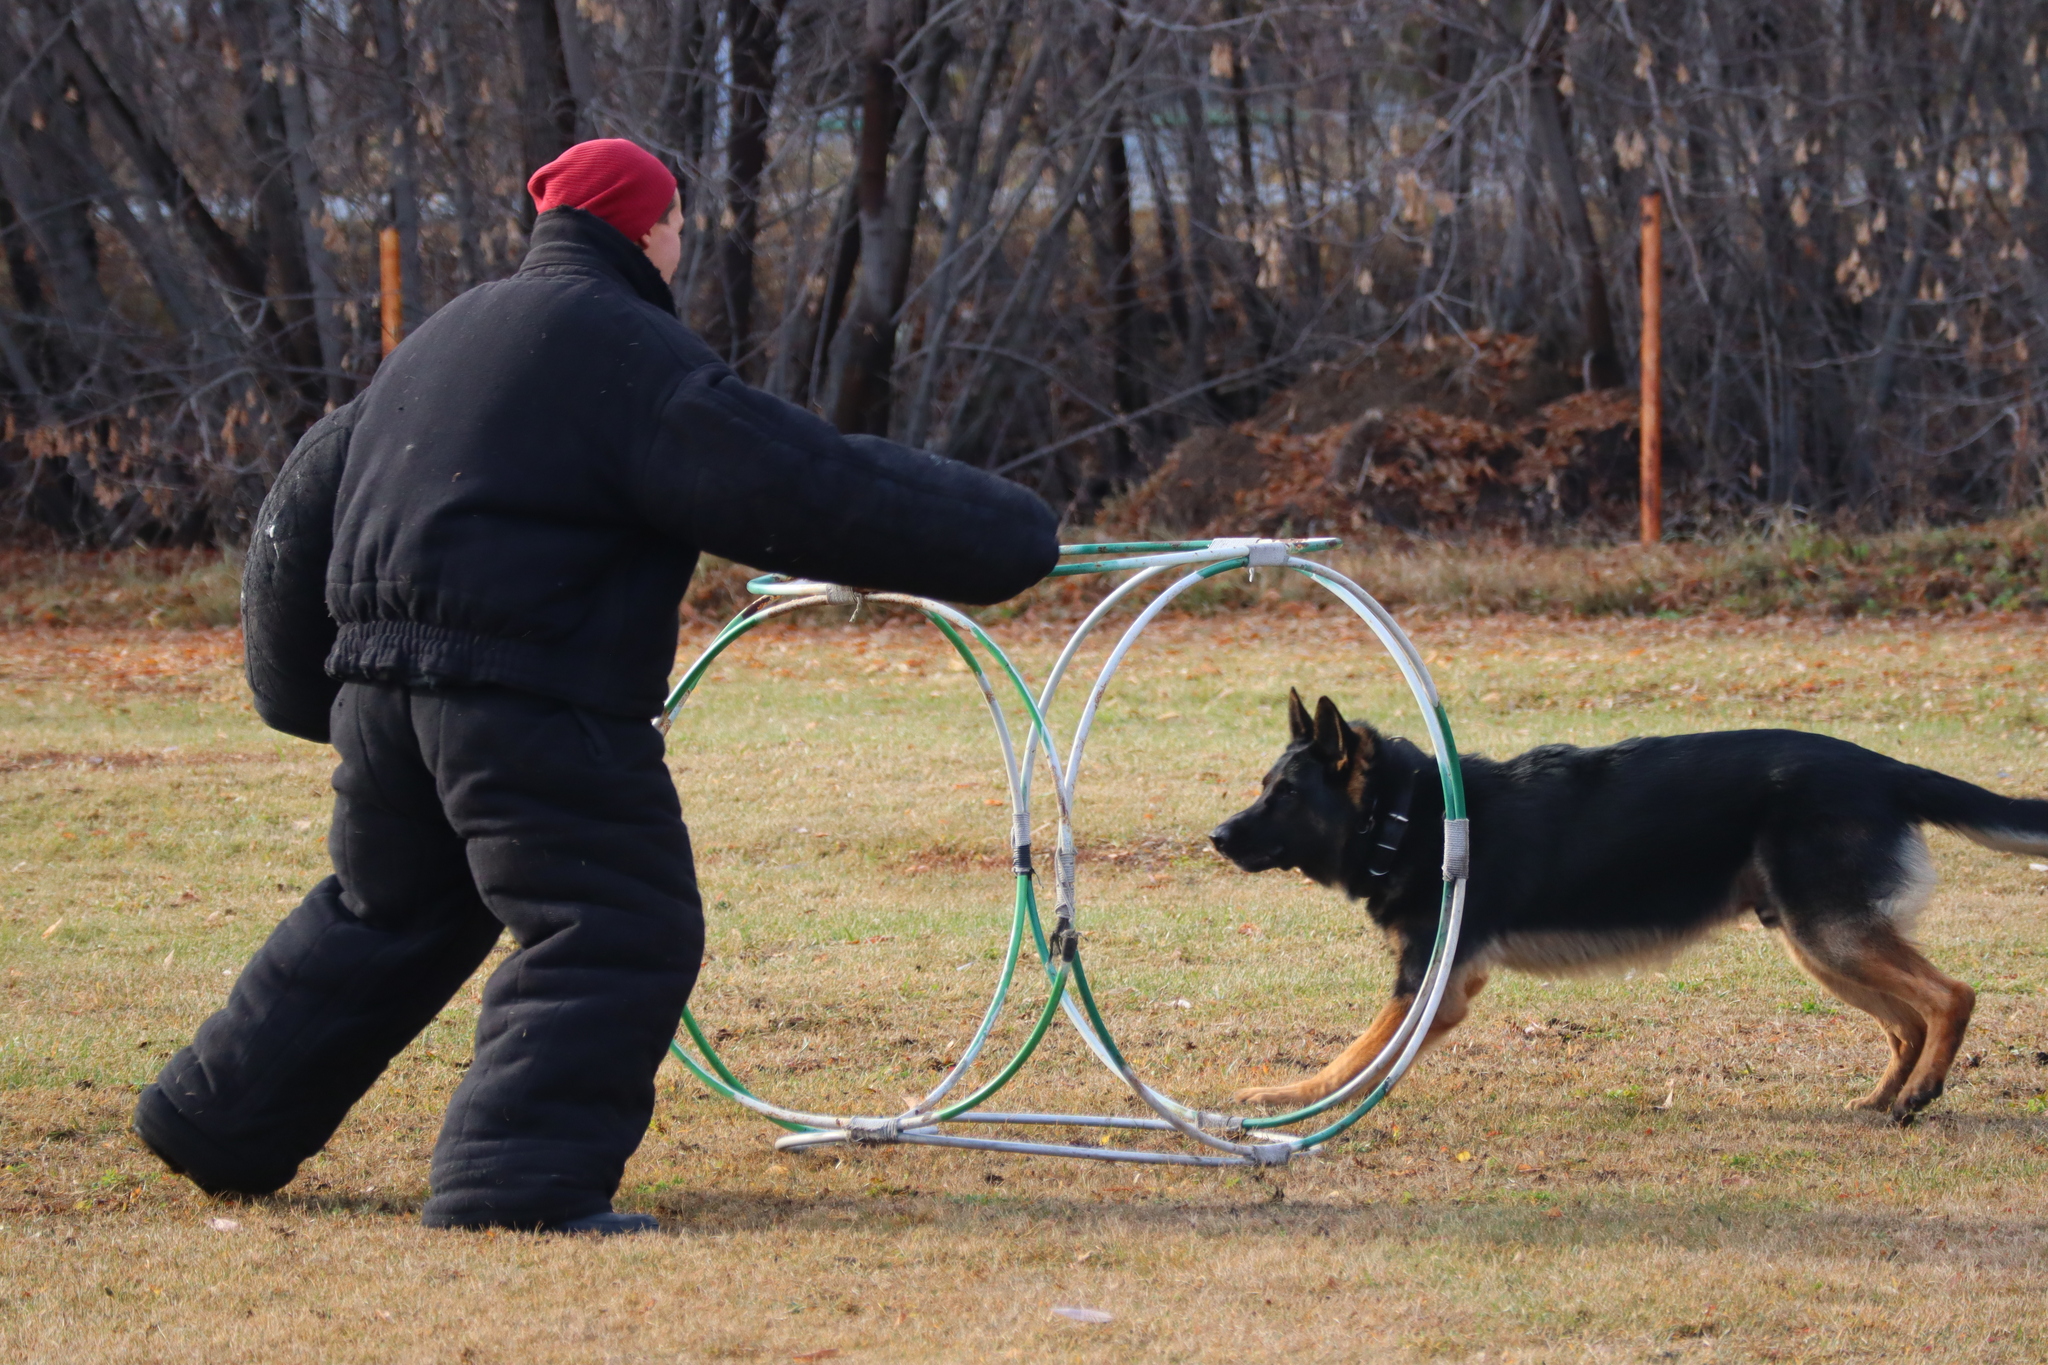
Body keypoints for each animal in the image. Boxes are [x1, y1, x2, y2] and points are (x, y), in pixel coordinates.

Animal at [1204, 695, 2048, 1121]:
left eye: (1285, 794)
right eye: (1264, 786)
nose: (1215, 836)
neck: (1404, 814)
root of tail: (1886, 766)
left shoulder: (1431, 987)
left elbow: (1355, 1054)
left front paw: (1292, 1098)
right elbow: (1365, 1053)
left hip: (1829, 933)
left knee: (1951, 995)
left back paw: (1921, 1093)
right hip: (1817, 941)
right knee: (1906, 1020)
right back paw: (1885, 1096)